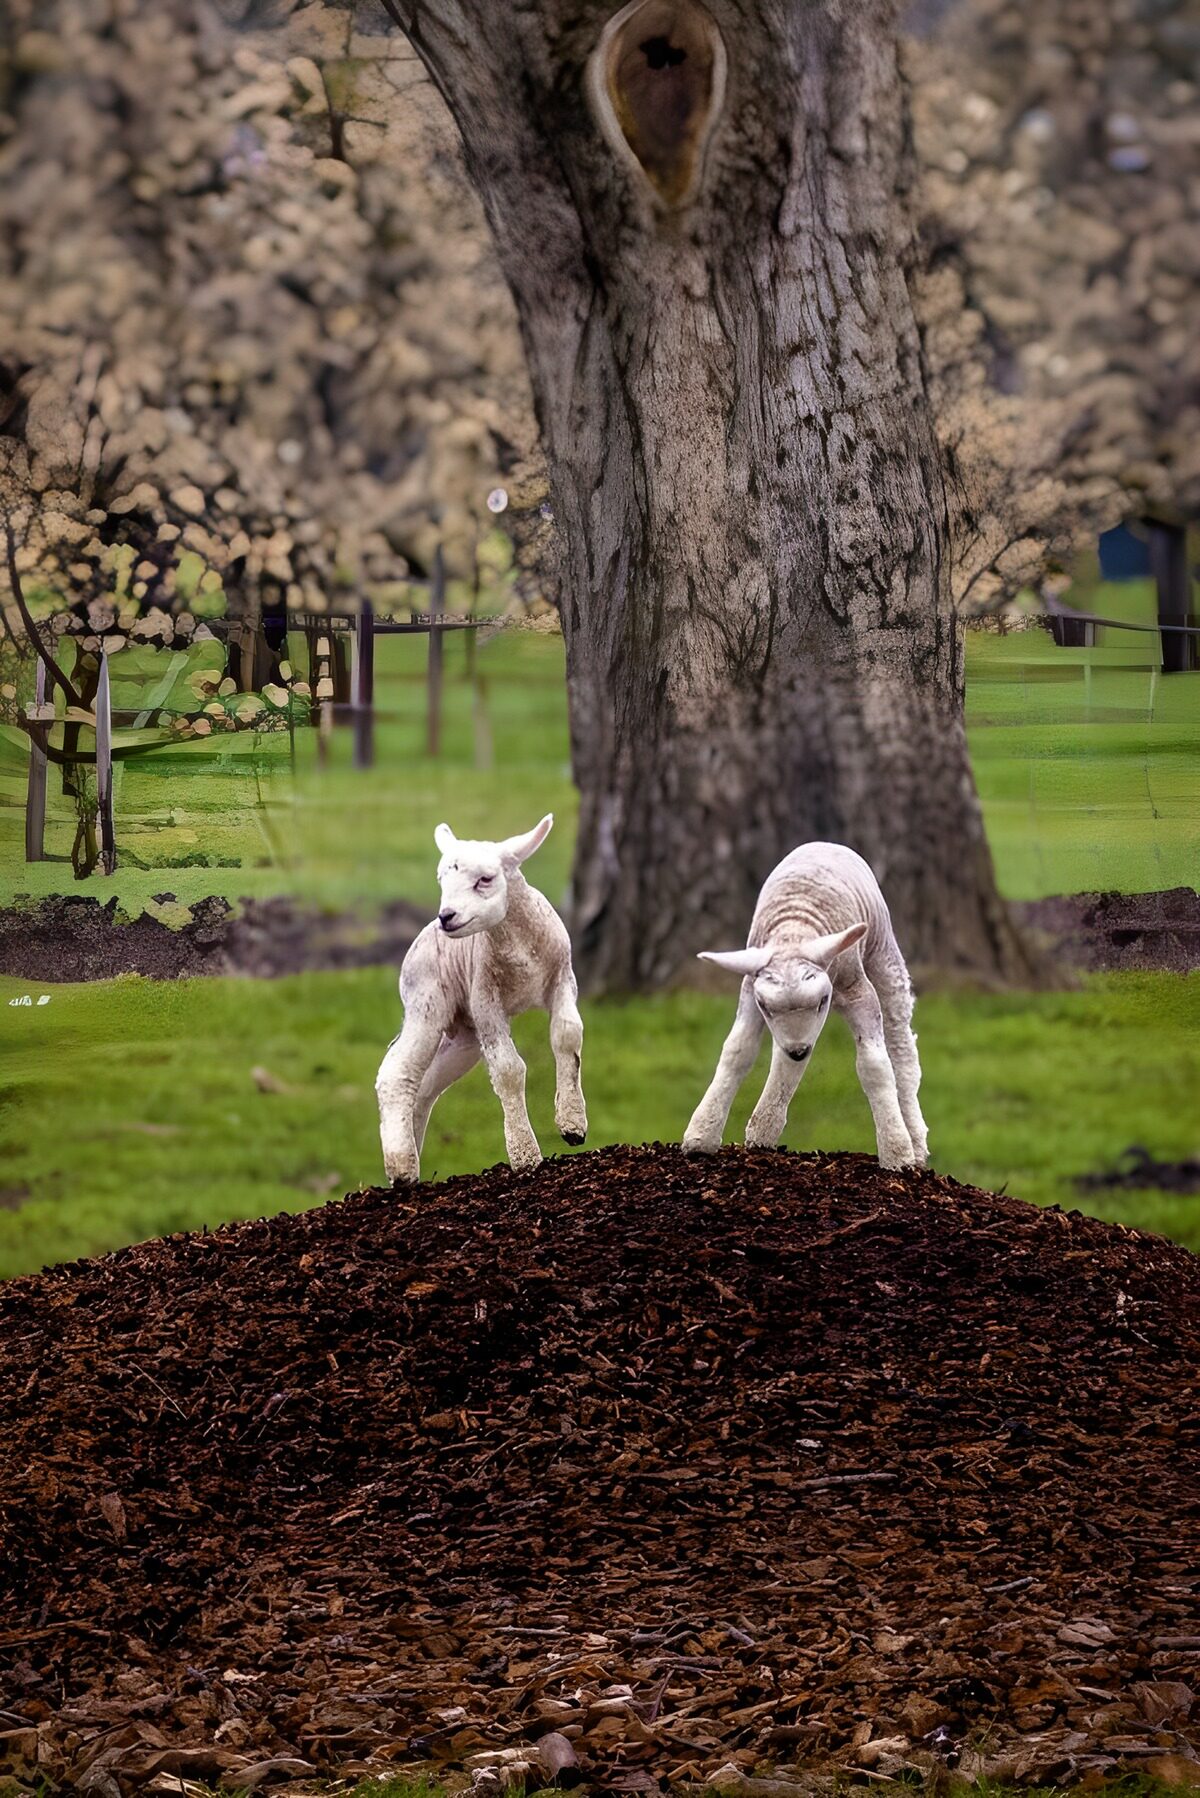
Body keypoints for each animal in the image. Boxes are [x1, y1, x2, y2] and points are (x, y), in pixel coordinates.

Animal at [375, 814, 586, 1185]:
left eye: (485, 879)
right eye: (442, 880)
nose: (447, 916)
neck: (521, 951)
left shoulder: (562, 979)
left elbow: (567, 1035)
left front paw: (573, 1123)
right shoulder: (486, 999)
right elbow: (508, 1069)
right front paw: (525, 1156)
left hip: (464, 1036)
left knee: (426, 1084)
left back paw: (411, 1162)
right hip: (426, 1002)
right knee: (397, 1071)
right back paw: (400, 1166)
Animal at [682, 842, 928, 1170]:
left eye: (823, 1000)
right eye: (765, 1006)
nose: (798, 1050)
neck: (795, 930)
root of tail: (825, 844)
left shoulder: (857, 991)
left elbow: (874, 1066)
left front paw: (897, 1153)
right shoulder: (751, 990)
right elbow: (737, 1052)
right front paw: (701, 1134)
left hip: (883, 955)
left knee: (901, 1046)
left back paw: (916, 1142)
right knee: (783, 1058)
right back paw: (764, 1130)